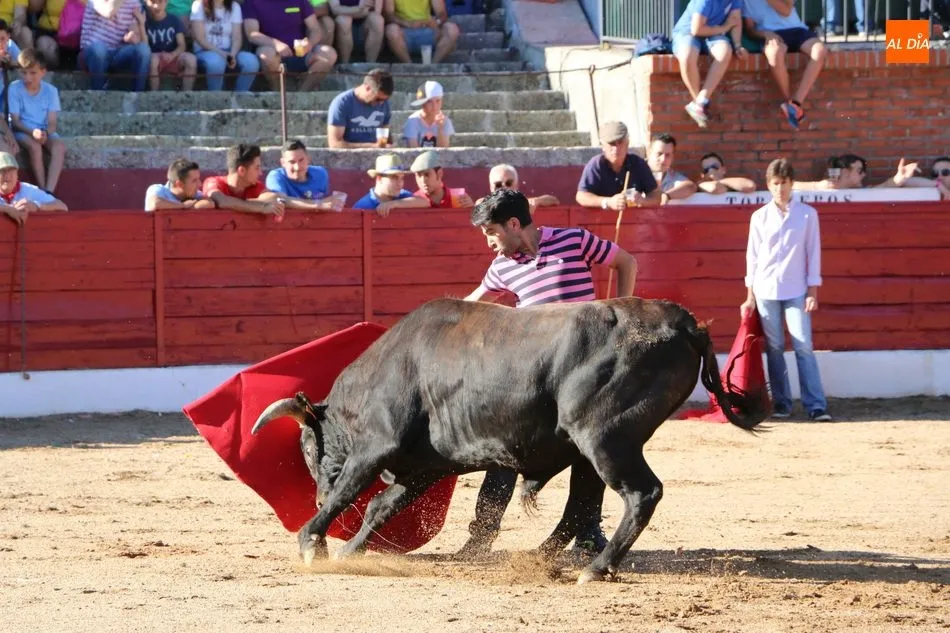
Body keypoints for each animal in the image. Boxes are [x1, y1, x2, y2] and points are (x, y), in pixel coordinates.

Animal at [252, 296, 768, 583]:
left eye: (307, 448)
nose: (314, 493)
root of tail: (685, 323)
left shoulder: (377, 446)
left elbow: (350, 491)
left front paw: (312, 543)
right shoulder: (425, 466)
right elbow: (381, 506)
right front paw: (348, 551)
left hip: (606, 438)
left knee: (642, 493)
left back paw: (595, 569)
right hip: (588, 452)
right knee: (581, 504)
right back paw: (543, 558)